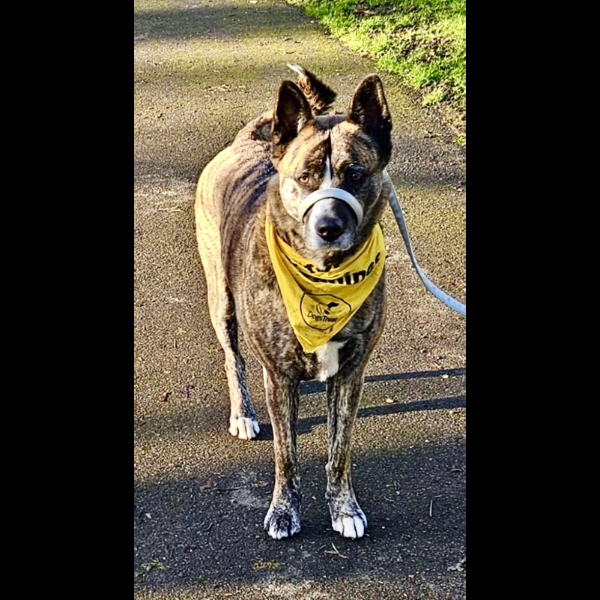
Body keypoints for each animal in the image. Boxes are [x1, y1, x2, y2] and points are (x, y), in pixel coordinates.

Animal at [196, 66, 393, 540]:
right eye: (304, 177)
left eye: (355, 173)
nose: (329, 227)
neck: (324, 274)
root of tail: (248, 140)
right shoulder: (280, 379)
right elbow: (286, 456)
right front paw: (284, 510)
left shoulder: (351, 375)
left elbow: (340, 450)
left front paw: (344, 508)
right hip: (221, 300)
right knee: (232, 357)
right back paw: (243, 413)